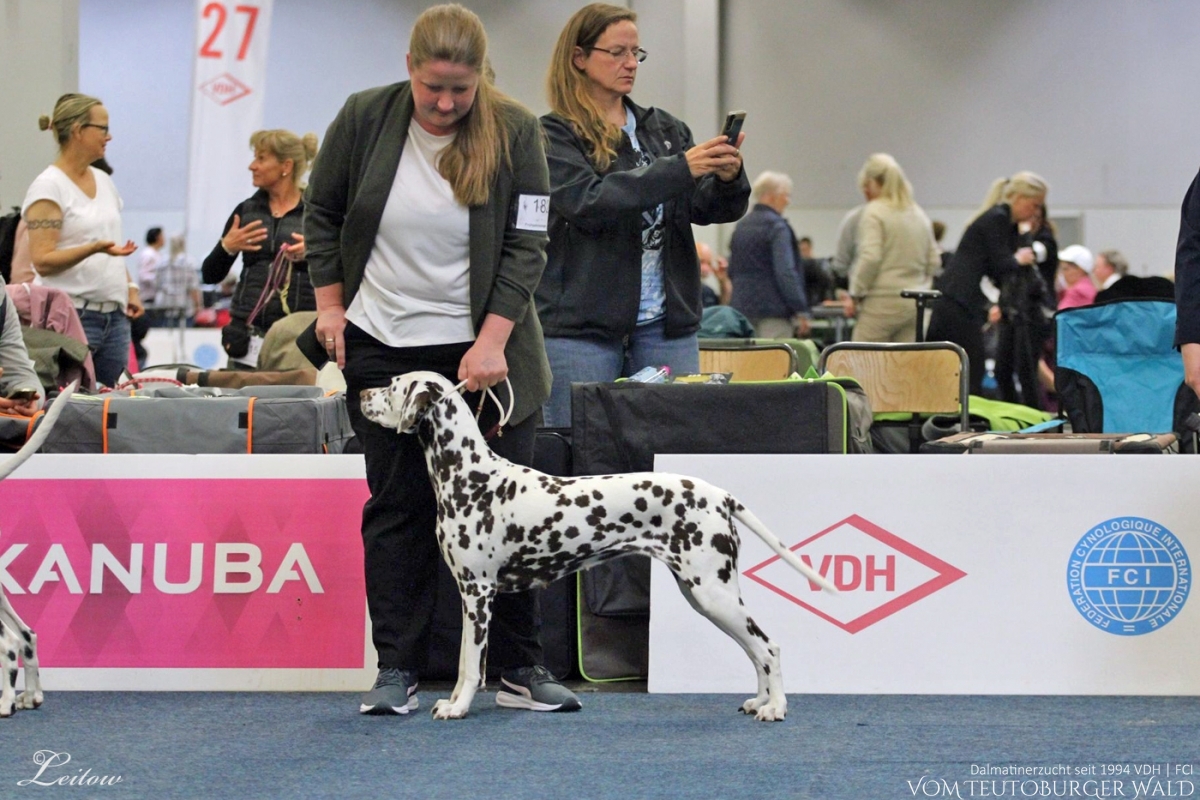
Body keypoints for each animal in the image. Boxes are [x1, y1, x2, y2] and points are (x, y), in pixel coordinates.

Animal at [360, 371, 840, 724]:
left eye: (394, 384)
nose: (362, 392)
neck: (470, 477)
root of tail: (718, 494)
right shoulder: (471, 594)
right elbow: (465, 662)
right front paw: (452, 702)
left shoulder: (478, 594)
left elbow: (469, 665)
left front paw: (458, 707)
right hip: (706, 596)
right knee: (755, 651)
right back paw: (760, 701)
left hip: (714, 593)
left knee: (768, 647)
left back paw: (776, 708)